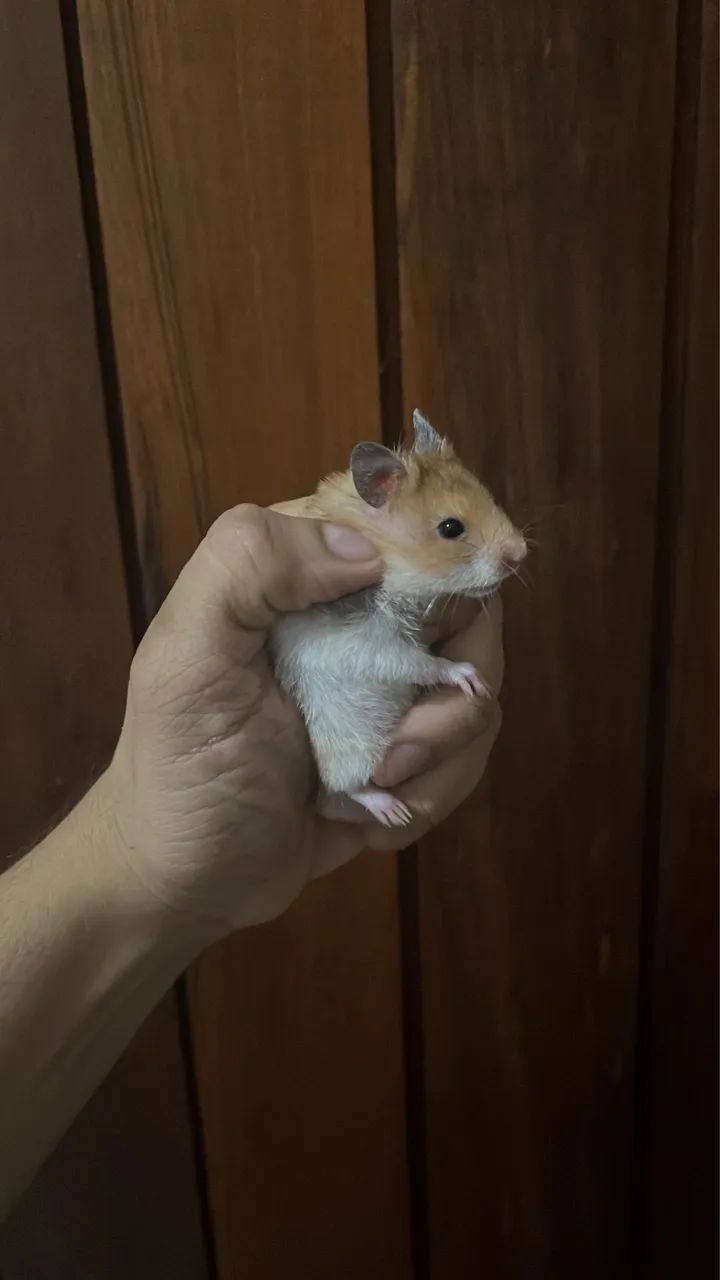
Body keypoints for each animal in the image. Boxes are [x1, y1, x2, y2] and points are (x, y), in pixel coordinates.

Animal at [269, 410, 526, 827]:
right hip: (349, 747)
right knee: (349, 786)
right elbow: (419, 661)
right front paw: (472, 679)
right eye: (451, 528)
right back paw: (394, 812)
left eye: (490, 497)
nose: (521, 554)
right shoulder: (371, 644)